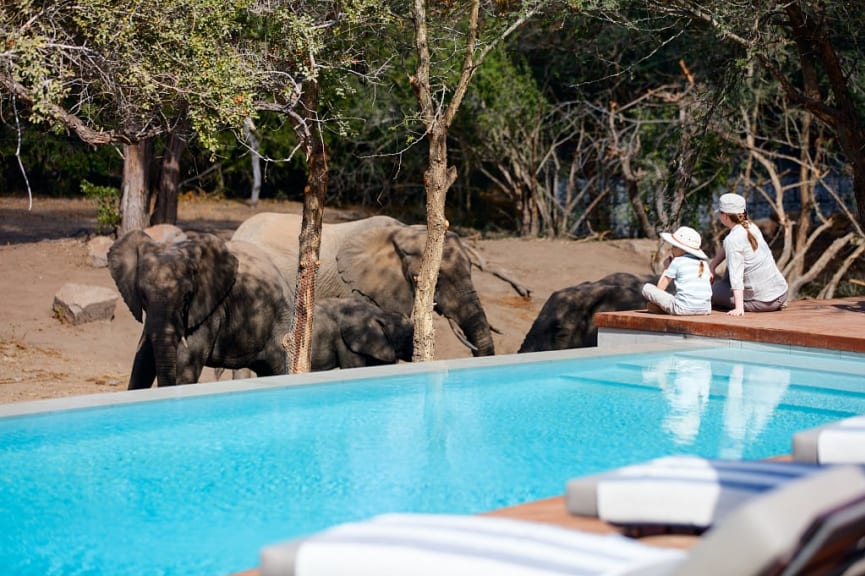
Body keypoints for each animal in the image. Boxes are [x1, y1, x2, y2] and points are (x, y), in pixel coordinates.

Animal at [108, 228, 296, 388]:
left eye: (187, 296)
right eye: (143, 296)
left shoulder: (209, 309)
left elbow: (185, 368)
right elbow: (142, 360)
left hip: (280, 324)